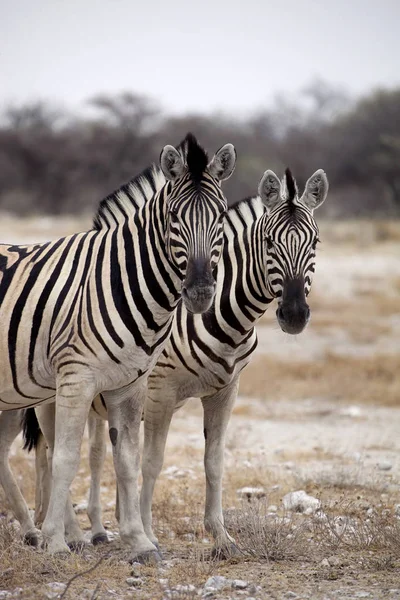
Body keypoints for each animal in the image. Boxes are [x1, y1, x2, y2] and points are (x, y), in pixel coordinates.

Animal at [0, 134, 236, 564]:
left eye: (220, 217)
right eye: (174, 218)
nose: (200, 292)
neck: (121, 280)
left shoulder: (130, 384)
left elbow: (127, 460)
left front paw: (139, 541)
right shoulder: (75, 378)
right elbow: (65, 458)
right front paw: (58, 542)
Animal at [18, 165, 328, 556]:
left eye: (314, 242)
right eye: (270, 242)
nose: (295, 315)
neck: (225, 317)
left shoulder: (226, 390)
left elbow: (214, 462)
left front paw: (221, 537)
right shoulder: (159, 390)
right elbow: (151, 462)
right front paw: (148, 535)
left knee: (85, 452)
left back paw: (84, 528)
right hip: (52, 395)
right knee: (55, 451)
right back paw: (68, 534)